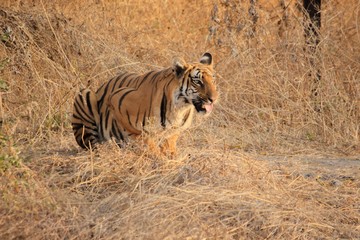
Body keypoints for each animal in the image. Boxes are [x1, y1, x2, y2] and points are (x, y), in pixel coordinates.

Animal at [71, 52, 218, 154]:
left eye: (213, 81)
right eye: (197, 81)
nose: (214, 98)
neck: (180, 108)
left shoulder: (173, 133)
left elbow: (170, 147)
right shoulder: (117, 99)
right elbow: (140, 136)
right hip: (85, 94)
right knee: (91, 144)